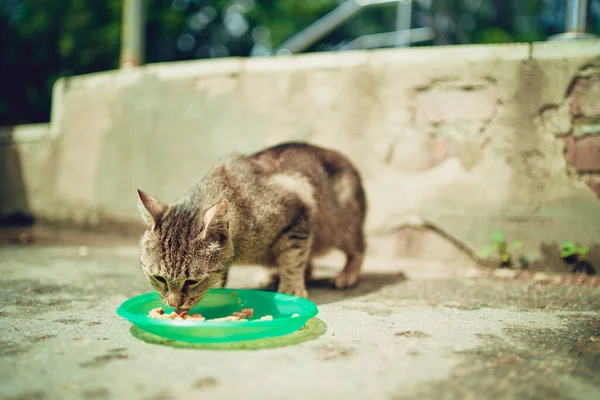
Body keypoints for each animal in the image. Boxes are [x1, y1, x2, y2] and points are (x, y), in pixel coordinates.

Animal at [137, 143, 366, 312]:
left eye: (192, 281)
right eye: (159, 278)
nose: (174, 304)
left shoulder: (298, 217)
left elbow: (292, 260)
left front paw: (290, 288)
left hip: (342, 228)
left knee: (358, 250)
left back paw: (346, 276)